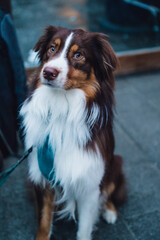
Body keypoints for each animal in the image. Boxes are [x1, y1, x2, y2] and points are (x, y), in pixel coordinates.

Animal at [20, 26, 126, 240]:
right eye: (52, 48)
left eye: (78, 55)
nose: (48, 72)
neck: (61, 108)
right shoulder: (42, 178)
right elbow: (43, 222)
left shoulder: (90, 182)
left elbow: (84, 227)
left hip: (115, 163)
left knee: (109, 192)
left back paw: (110, 211)